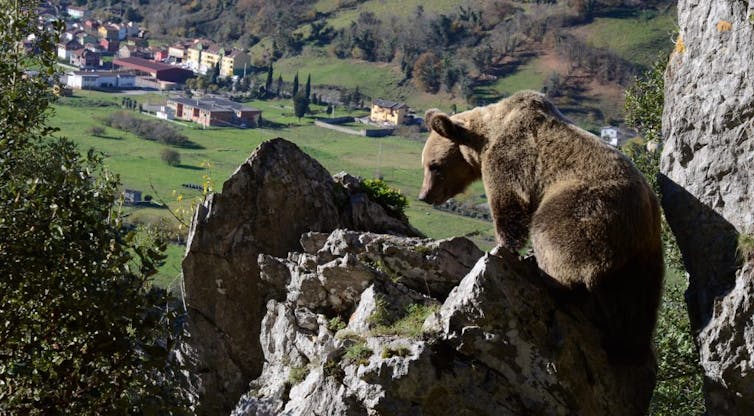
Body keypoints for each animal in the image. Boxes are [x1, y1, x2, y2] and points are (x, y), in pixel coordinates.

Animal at [419, 91, 663, 363]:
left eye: (434, 166)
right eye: (425, 163)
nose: (424, 195)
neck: (484, 138)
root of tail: (644, 216)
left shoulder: (510, 160)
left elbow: (509, 207)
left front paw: (503, 247)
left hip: (587, 210)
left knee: (557, 238)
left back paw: (551, 278)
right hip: (646, 254)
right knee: (639, 301)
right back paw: (632, 346)